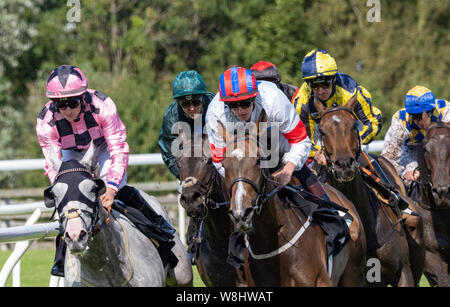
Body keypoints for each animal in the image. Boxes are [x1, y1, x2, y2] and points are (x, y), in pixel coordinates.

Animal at [218, 113, 366, 288]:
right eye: (224, 164)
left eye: (259, 160)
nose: (241, 214)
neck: (271, 239)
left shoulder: (320, 281)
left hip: (353, 274)